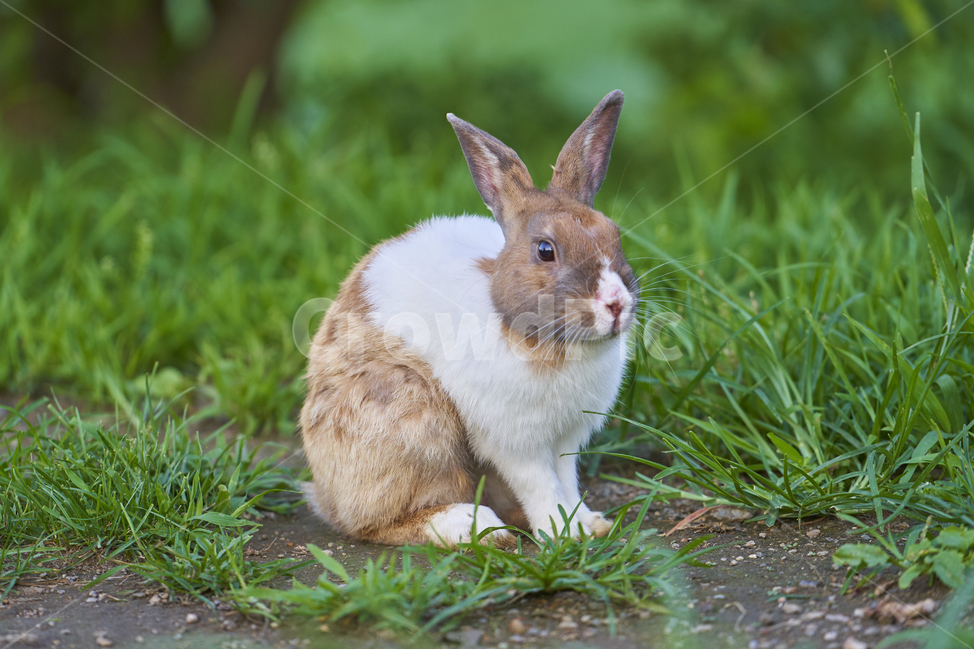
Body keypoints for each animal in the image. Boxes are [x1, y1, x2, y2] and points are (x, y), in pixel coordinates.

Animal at [300, 90, 638, 549]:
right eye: (545, 250)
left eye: (615, 235)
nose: (615, 303)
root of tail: (322, 493)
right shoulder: (514, 441)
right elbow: (540, 485)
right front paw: (561, 532)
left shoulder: (565, 440)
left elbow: (566, 482)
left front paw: (587, 525)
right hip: (414, 423)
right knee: (378, 521)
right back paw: (475, 527)